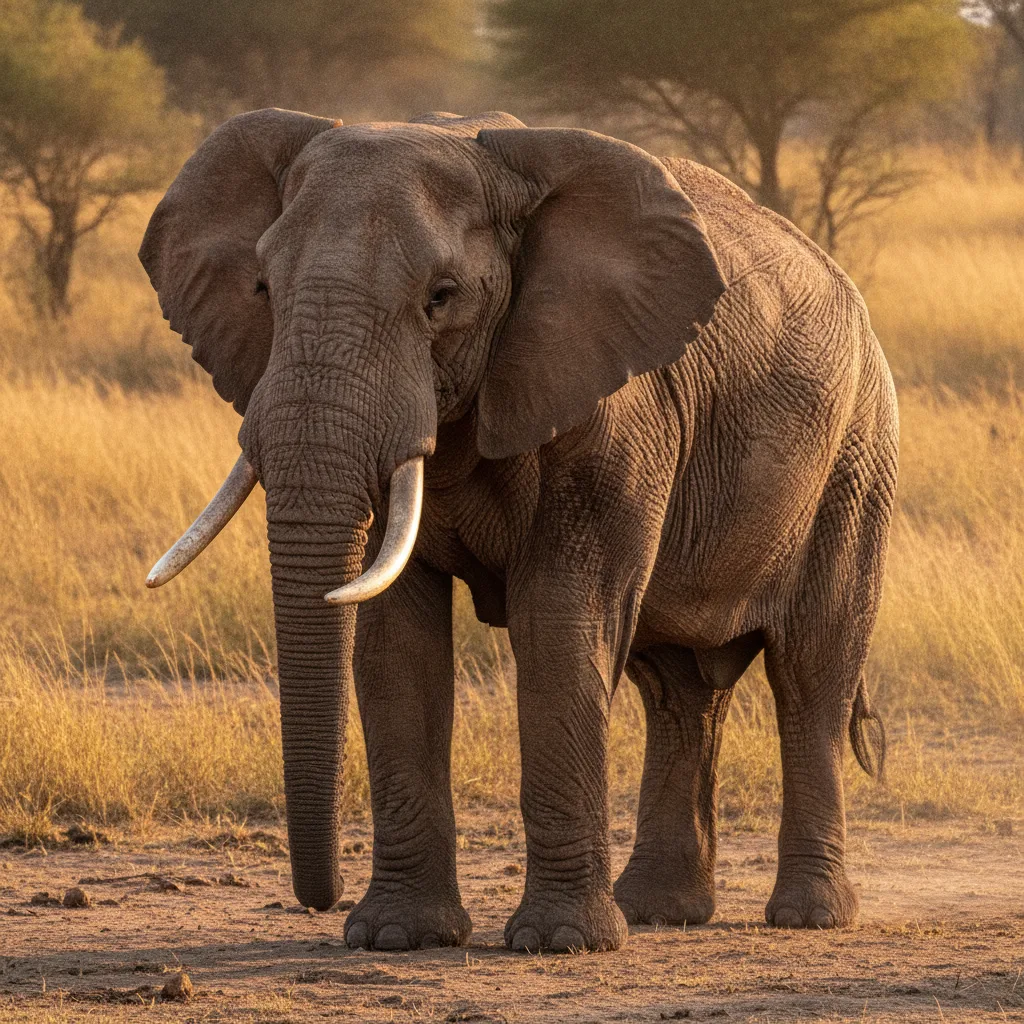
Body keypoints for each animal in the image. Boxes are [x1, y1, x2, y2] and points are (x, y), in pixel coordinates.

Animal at [140, 107, 897, 953]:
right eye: (263, 289)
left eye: (441, 297)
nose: (319, 901)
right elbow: (396, 641)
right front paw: (397, 936)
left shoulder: (614, 408)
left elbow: (560, 620)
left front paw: (563, 942)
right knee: (678, 688)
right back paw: (659, 910)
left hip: (856, 454)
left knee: (811, 670)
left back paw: (808, 916)